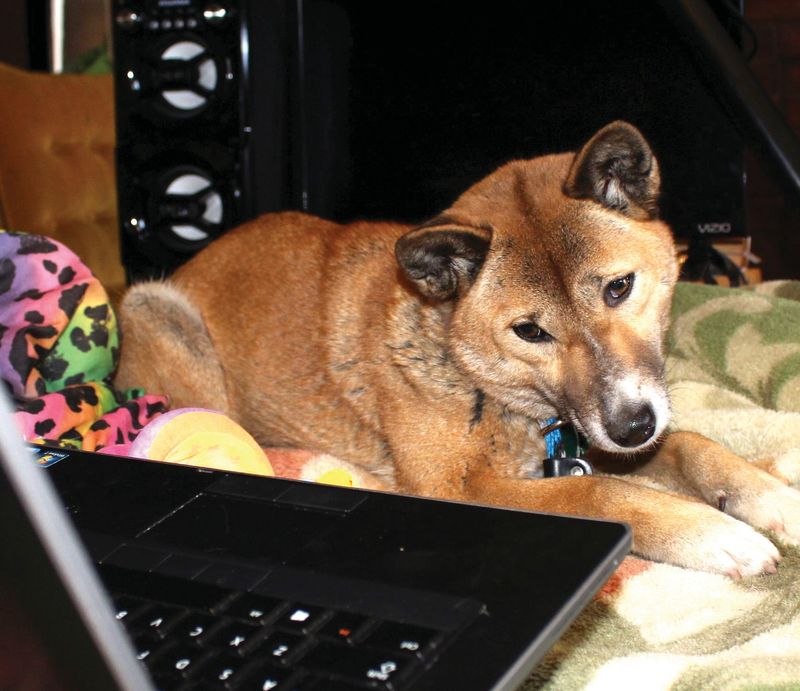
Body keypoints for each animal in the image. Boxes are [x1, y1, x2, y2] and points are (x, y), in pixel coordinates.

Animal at [115, 123, 800, 580]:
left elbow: (691, 446)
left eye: (619, 287)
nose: (632, 427)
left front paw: (769, 496)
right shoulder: (460, 488)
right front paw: (712, 532)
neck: (477, 380)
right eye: (530, 331)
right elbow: (604, 495)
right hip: (162, 311)